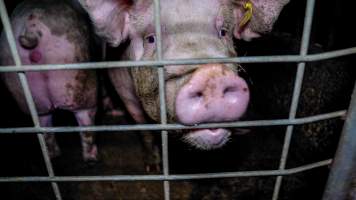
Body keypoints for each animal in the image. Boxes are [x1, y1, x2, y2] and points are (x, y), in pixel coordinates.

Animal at [0, 0, 98, 162]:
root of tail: (32, 28)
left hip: (21, 88)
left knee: (43, 124)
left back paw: (54, 155)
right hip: (80, 76)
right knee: (85, 120)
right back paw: (92, 158)